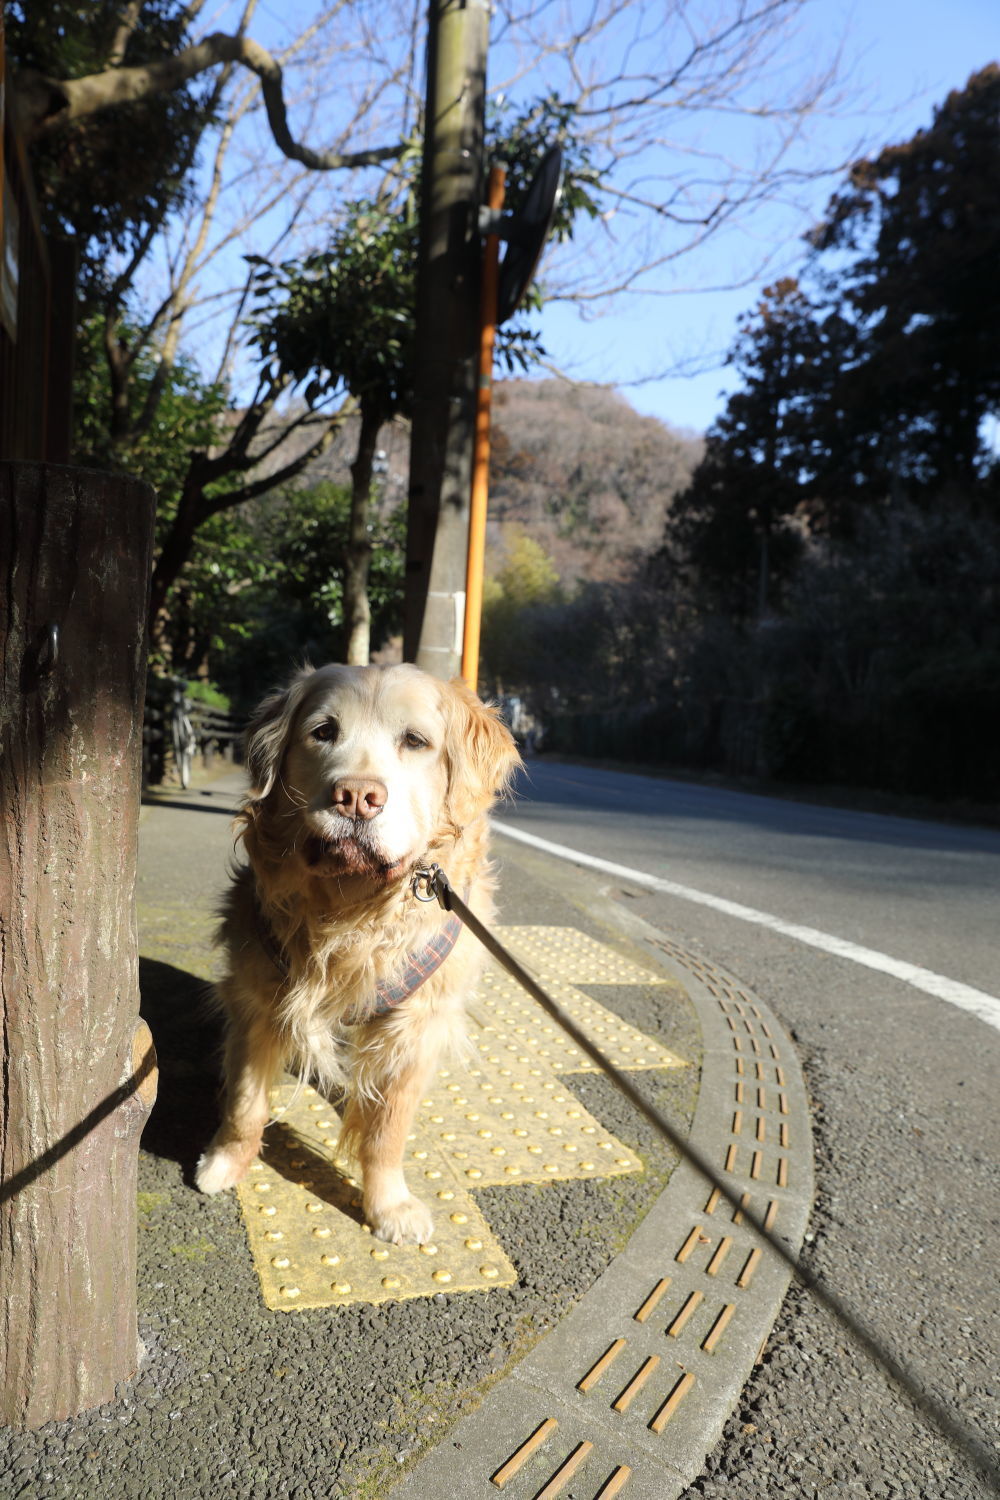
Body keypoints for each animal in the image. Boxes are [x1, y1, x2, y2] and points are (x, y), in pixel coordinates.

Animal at [197, 666, 524, 1242]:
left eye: (415, 741)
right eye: (323, 732)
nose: (355, 795)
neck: (353, 912)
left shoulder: (413, 1030)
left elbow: (385, 1131)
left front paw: (388, 1205)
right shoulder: (259, 1004)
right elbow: (245, 1104)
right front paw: (225, 1162)